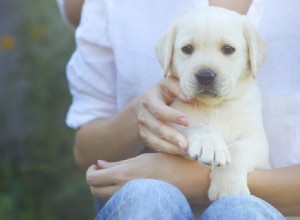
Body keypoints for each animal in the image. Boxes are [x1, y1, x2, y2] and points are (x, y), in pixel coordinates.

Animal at [156, 6, 268, 201]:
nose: (205, 76)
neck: (216, 106)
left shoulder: (259, 142)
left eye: (228, 49)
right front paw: (209, 144)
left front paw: (228, 188)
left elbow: (238, 149)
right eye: (187, 49)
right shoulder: (175, 118)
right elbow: (197, 125)